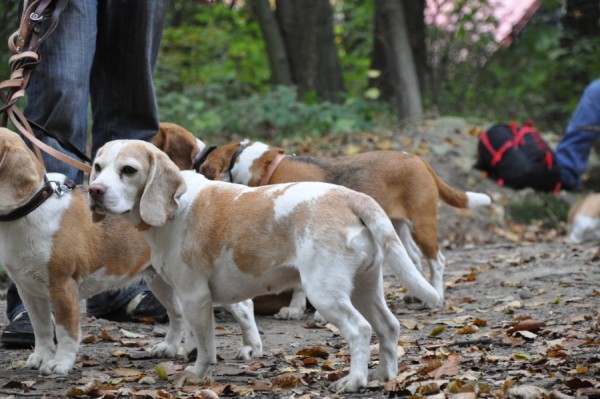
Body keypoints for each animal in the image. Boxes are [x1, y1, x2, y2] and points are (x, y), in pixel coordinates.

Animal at [0, 130, 260, 376]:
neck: (30, 211)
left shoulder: (63, 286)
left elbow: (66, 332)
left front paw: (60, 363)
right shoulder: (28, 290)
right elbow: (42, 329)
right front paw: (41, 357)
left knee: (244, 306)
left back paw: (250, 347)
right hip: (161, 280)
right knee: (178, 315)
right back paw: (175, 347)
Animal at [89, 139, 442, 392]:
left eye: (129, 170)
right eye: (98, 166)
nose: (94, 191)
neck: (176, 205)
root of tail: (351, 197)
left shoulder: (194, 297)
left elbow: (205, 346)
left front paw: (196, 374)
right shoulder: (187, 297)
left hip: (326, 295)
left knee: (360, 330)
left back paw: (354, 381)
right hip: (365, 289)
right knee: (388, 327)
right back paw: (384, 375)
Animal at [197, 139, 492, 318]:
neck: (269, 167)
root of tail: (418, 160)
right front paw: (296, 309)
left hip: (422, 224)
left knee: (437, 261)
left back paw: (436, 296)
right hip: (396, 226)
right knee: (413, 259)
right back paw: (415, 295)